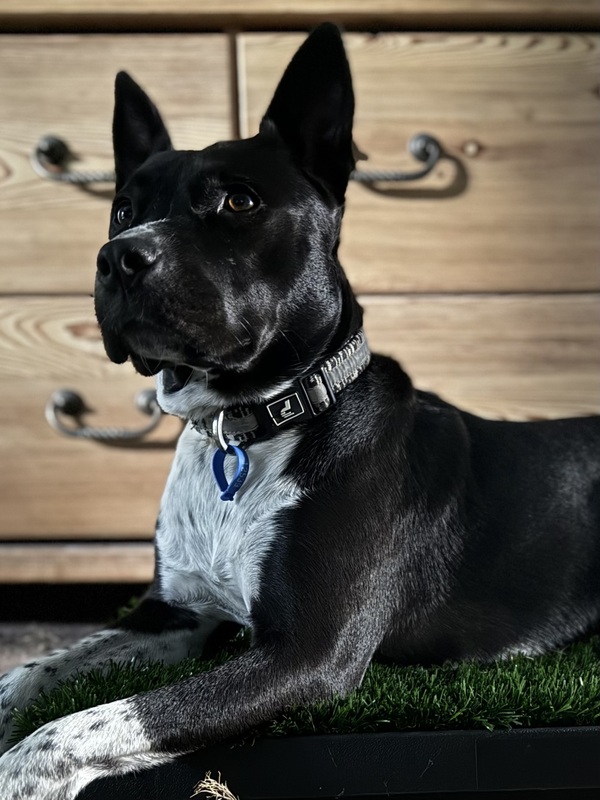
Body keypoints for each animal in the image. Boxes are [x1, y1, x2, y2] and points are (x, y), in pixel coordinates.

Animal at [1, 22, 599, 800]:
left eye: (238, 203)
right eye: (123, 210)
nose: (116, 256)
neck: (245, 427)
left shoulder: (309, 652)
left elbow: (85, 724)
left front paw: (20, 771)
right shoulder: (175, 615)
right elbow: (32, 670)